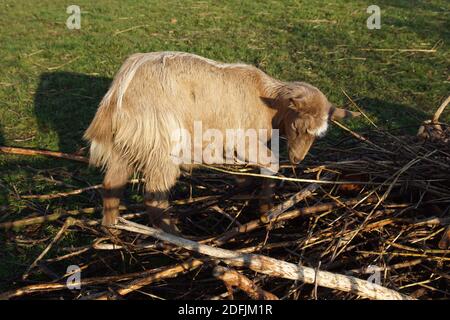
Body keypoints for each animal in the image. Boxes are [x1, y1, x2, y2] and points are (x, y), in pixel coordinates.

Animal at [83, 52, 358, 232]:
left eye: (318, 134)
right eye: (298, 127)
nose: (297, 159)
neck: (267, 100)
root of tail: (118, 92)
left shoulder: (229, 144)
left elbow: (242, 173)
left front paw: (245, 192)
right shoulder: (245, 139)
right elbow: (271, 164)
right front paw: (265, 210)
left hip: (128, 144)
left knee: (112, 183)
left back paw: (112, 231)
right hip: (162, 144)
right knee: (154, 198)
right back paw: (178, 238)